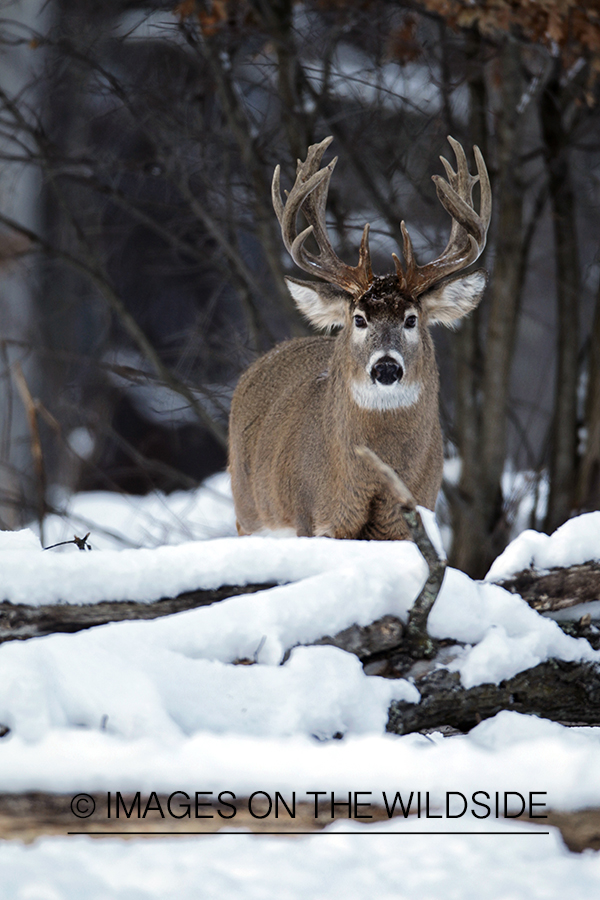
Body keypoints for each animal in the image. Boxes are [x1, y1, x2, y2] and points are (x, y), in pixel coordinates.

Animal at [227, 137, 490, 536]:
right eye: (359, 319)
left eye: (411, 319)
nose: (386, 368)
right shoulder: (310, 518)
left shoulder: (413, 516)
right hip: (249, 514)